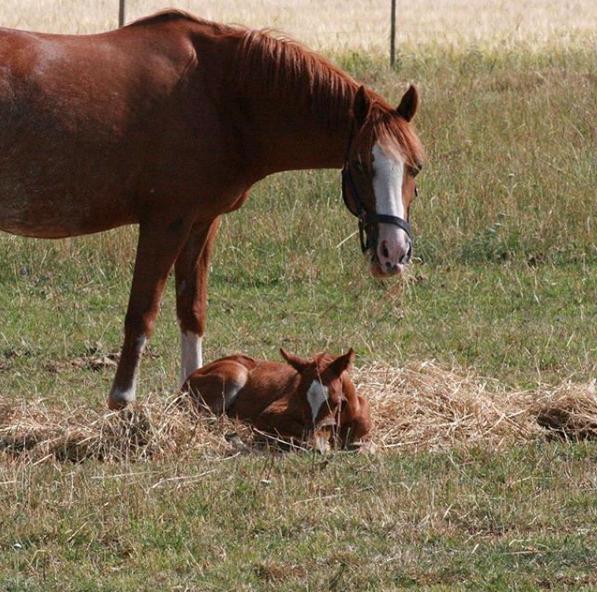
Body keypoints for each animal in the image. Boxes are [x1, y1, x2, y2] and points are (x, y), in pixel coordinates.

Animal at [0, 10, 424, 408]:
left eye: (415, 167)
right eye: (360, 165)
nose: (393, 252)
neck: (219, 92)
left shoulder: (202, 222)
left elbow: (192, 310)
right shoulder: (165, 223)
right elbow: (142, 312)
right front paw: (122, 403)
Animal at [179, 346, 370, 448]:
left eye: (336, 402)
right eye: (298, 396)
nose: (316, 448)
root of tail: (189, 378)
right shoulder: (267, 414)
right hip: (235, 374)